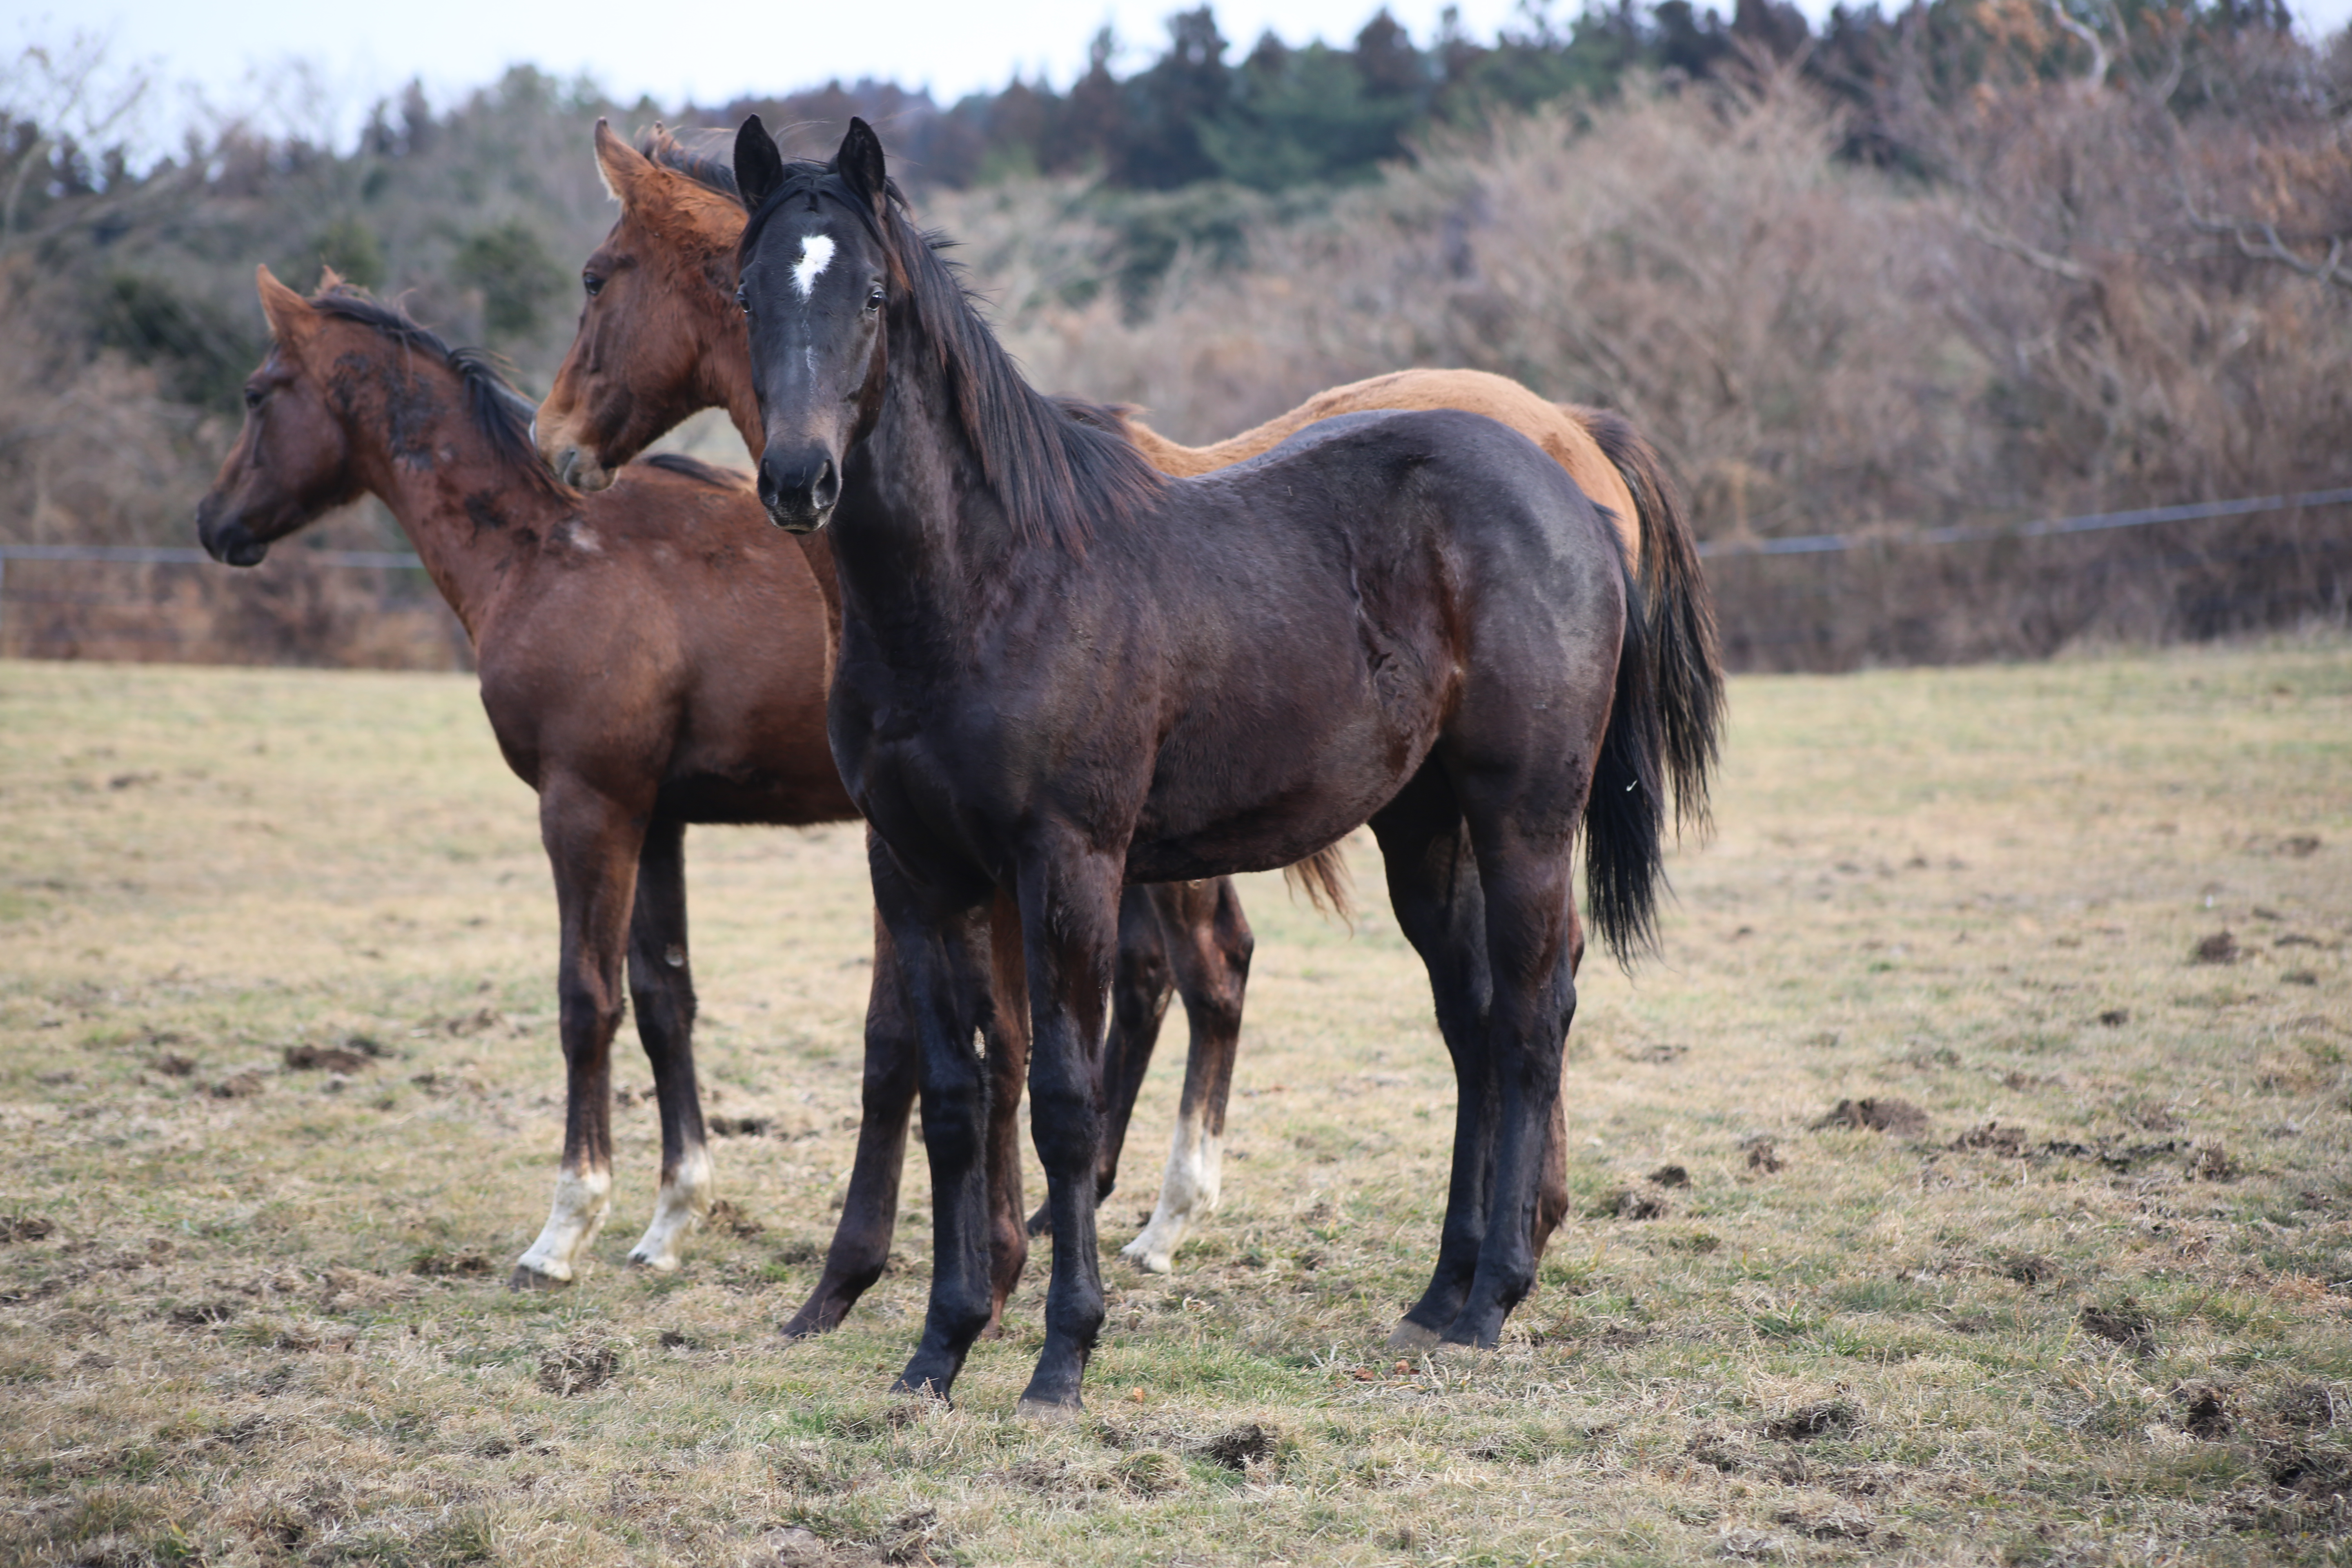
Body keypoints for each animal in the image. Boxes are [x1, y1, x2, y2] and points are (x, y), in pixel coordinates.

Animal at [188, 267, 1054, 1316]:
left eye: (257, 394)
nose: (213, 522)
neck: (549, 545)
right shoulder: (659, 818)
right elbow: (663, 998)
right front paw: (671, 1215)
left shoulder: (585, 807)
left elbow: (585, 1000)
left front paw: (567, 1224)